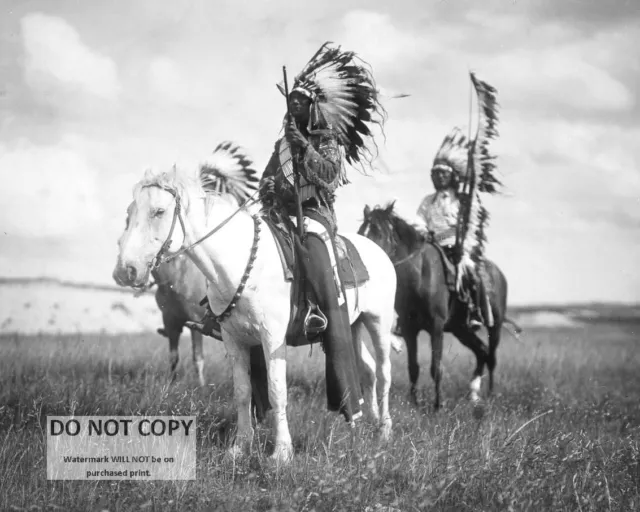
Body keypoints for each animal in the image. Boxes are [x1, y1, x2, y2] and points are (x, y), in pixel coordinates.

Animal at [112, 166, 398, 462]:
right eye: (129, 212)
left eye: (158, 211)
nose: (125, 270)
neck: (240, 263)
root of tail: (379, 252)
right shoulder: (234, 340)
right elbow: (242, 392)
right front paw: (240, 446)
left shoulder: (272, 339)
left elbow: (276, 391)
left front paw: (281, 453)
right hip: (354, 326)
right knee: (368, 370)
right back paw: (367, 422)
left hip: (378, 322)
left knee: (384, 372)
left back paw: (384, 430)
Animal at [360, 202, 516, 410]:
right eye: (361, 231)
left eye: (378, 232)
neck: (420, 276)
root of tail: (498, 274)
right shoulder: (410, 329)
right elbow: (413, 367)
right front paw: (415, 404)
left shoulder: (436, 327)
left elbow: (436, 367)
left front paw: (438, 405)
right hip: (461, 330)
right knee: (481, 351)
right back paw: (473, 394)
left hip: (494, 327)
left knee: (491, 357)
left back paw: (490, 394)